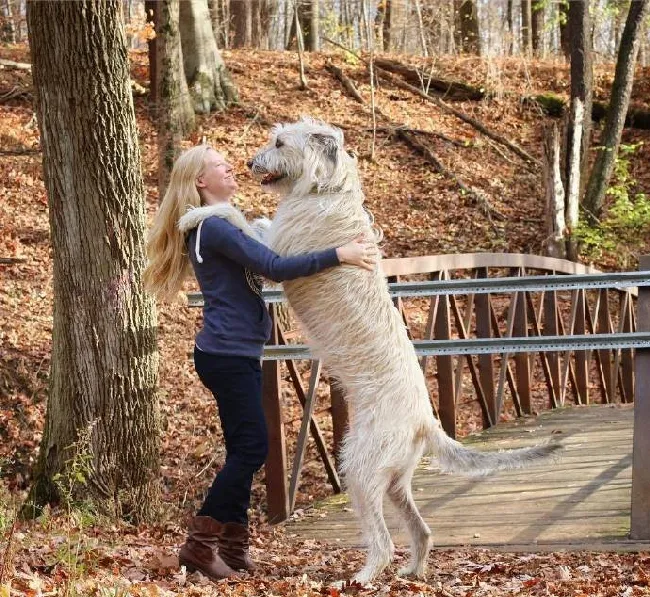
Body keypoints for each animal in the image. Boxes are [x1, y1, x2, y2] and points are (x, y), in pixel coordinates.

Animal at [248, 117, 556, 584]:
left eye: (280, 142)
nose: (251, 163)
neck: (326, 190)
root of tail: (425, 421)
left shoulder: (282, 255)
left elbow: (250, 230)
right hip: (393, 478)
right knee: (421, 529)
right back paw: (414, 568)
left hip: (359, 466)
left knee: (383, 540)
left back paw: (363, 577)